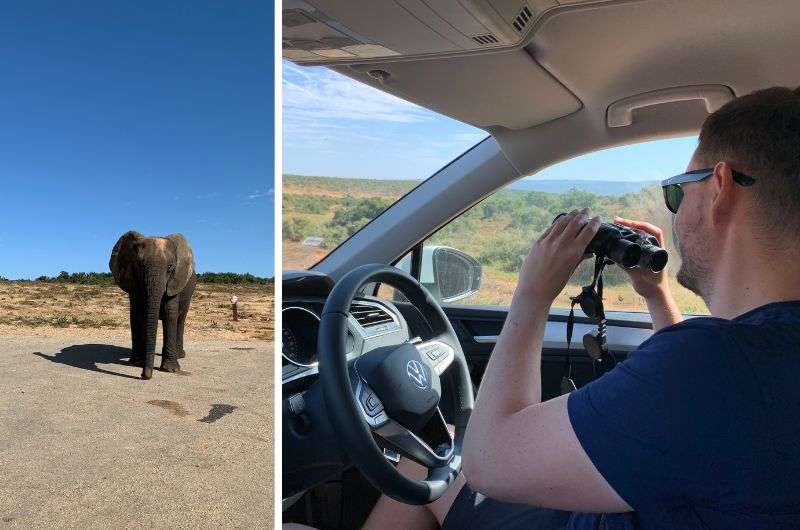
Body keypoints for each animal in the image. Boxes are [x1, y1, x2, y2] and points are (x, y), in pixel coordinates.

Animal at [108, 231, 196, 380]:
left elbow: (170, 314)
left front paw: (170, 369)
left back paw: (180, 355)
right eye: (139, 265)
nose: (143, 375)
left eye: (170, 267)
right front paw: (136, 363)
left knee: (180, 319)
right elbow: (136, 314)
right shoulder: (133, 282)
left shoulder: (175, 281)